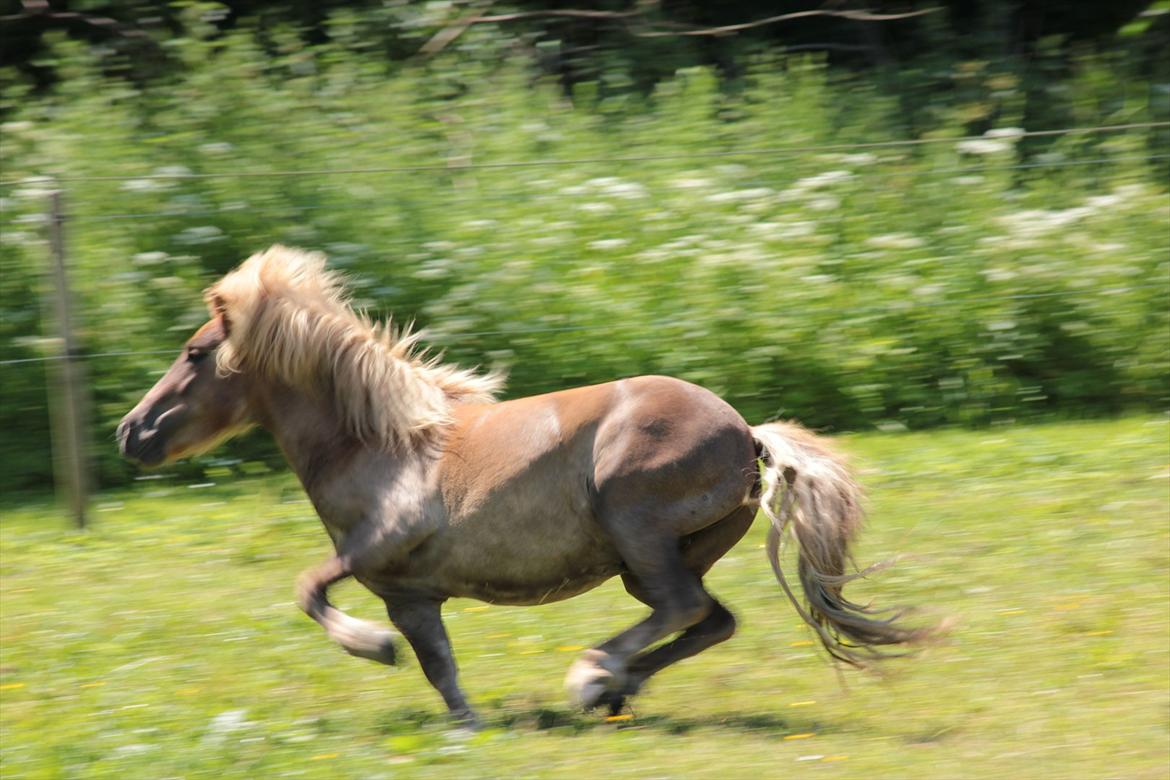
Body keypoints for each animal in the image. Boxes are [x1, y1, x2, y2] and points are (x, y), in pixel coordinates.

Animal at [116, 246, 921, 729]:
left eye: (195, 353)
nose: (132, 432)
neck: (384, 445)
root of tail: (748, 435)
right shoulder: (410, 593)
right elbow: (439, 666)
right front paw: (464, 724)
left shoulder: (379, 550)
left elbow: (310, 589)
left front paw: (372, 649)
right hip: (656, 557)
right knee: (709, 619)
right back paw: (615, 688)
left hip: (636, 529)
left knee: (683, 608)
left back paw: (594, 675)